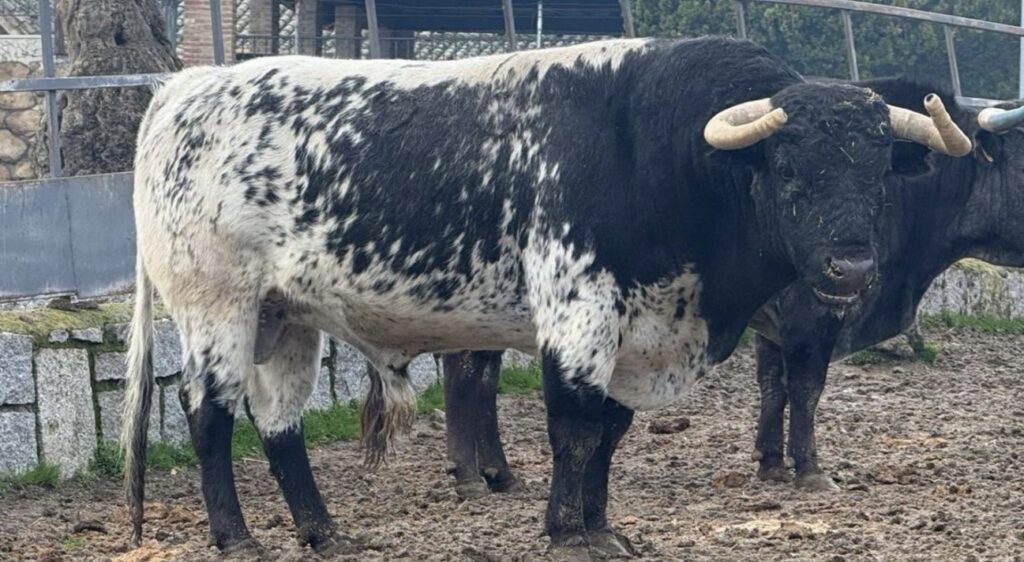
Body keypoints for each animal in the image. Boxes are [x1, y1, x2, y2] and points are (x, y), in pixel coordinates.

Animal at [121, 37, 970, 558]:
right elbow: (575, 430)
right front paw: (567, 533)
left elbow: (611, 434)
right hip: (216, 308)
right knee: (208, 414)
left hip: (285, 318)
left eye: (878, 170)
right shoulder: (579, 315)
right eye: (790, 169)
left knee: (280, 425)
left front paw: (601, 527)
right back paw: (237, 537)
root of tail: (185, 89)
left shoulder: (637, 335)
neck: (659, 154)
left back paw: (322, 531)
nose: (850, 266)